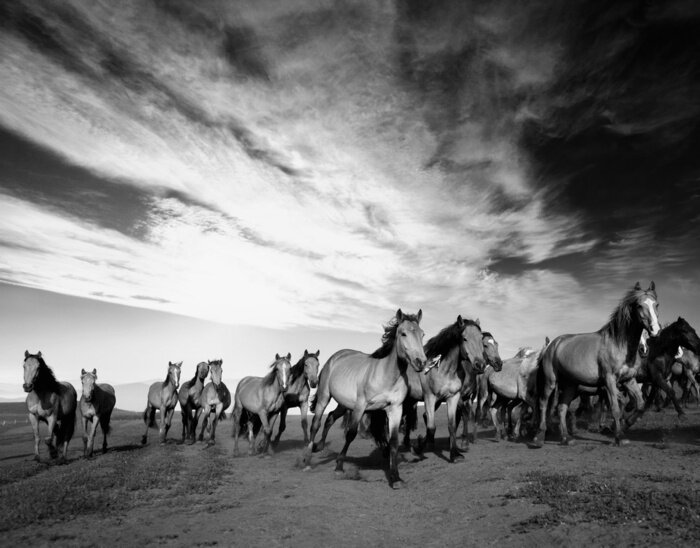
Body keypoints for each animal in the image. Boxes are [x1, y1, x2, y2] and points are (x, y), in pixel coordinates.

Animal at [303, 309, 427, 488]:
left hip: (343, 404)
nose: (421, 362)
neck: (386, 375)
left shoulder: (395, 409)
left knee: (330, 418)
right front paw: (339, 466)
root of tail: (335, 357)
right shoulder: (361, 406)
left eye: (422, 334)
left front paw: (396, 478)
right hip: (324, 397)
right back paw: (307, 458)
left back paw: (318, 447)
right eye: (403, 333)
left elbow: (394, 441)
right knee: (316, 424)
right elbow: (351, 434)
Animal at [401, 316, 496, 462]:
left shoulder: (453, 397)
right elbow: (431, 427)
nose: (480, 365)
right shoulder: (430, 397)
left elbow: (452, 424)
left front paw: (455, 454)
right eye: (464, 338)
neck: (443, 370)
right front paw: (418, 447)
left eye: (481, 339)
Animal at [531, 281, 660, 447]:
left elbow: (640, 404)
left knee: (561, 408)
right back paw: (539, 437)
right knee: (543, 404)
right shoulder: (609, 380)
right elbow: (615, 408)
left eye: (656, 304)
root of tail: (552, 345)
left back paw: (566, 438)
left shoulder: (629, 380)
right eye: (639, 305)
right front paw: (619, 436)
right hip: (550, 382)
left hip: (570, 385)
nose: (655, 331)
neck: (618, 345)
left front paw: (623, 424)